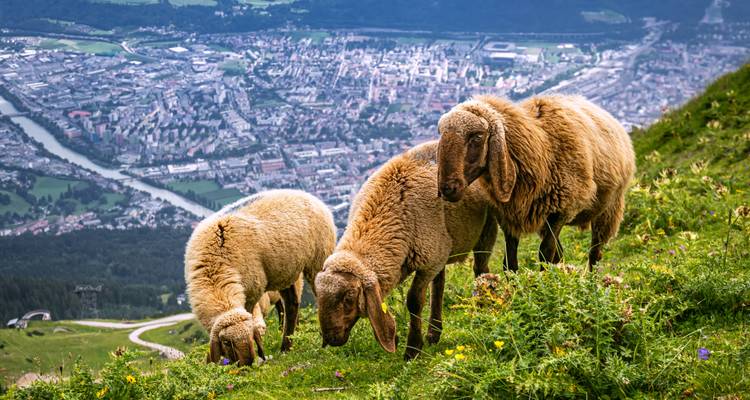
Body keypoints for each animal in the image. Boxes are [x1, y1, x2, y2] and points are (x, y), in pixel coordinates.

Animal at [185, 189, 336, 366]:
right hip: (286, 271)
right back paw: (286, 346)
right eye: (227, 342)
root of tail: (306, 194)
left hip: (318, 259)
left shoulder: (251, 293)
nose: (248, 364)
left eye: (251, 335)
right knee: (291, 305)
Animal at [315, 141, 498, 360]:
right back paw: (434, 332)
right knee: (440, 284)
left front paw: (413, 348)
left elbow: (414, 301)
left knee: (480, 269)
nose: (330, 339)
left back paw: (481, 307)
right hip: (442, 248)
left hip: (485, 228)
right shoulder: (429, 257)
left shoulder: (428, 262)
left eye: (349, 297)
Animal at [436, 94, 635, 271]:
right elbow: (510, 263)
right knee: (561, 253)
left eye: (477, 137)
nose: (448, 188)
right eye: (442, 136)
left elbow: (545, 254)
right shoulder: (508, 215)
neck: (542, 149)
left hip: (610, 208)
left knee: (595, 253)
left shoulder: (560, 211)